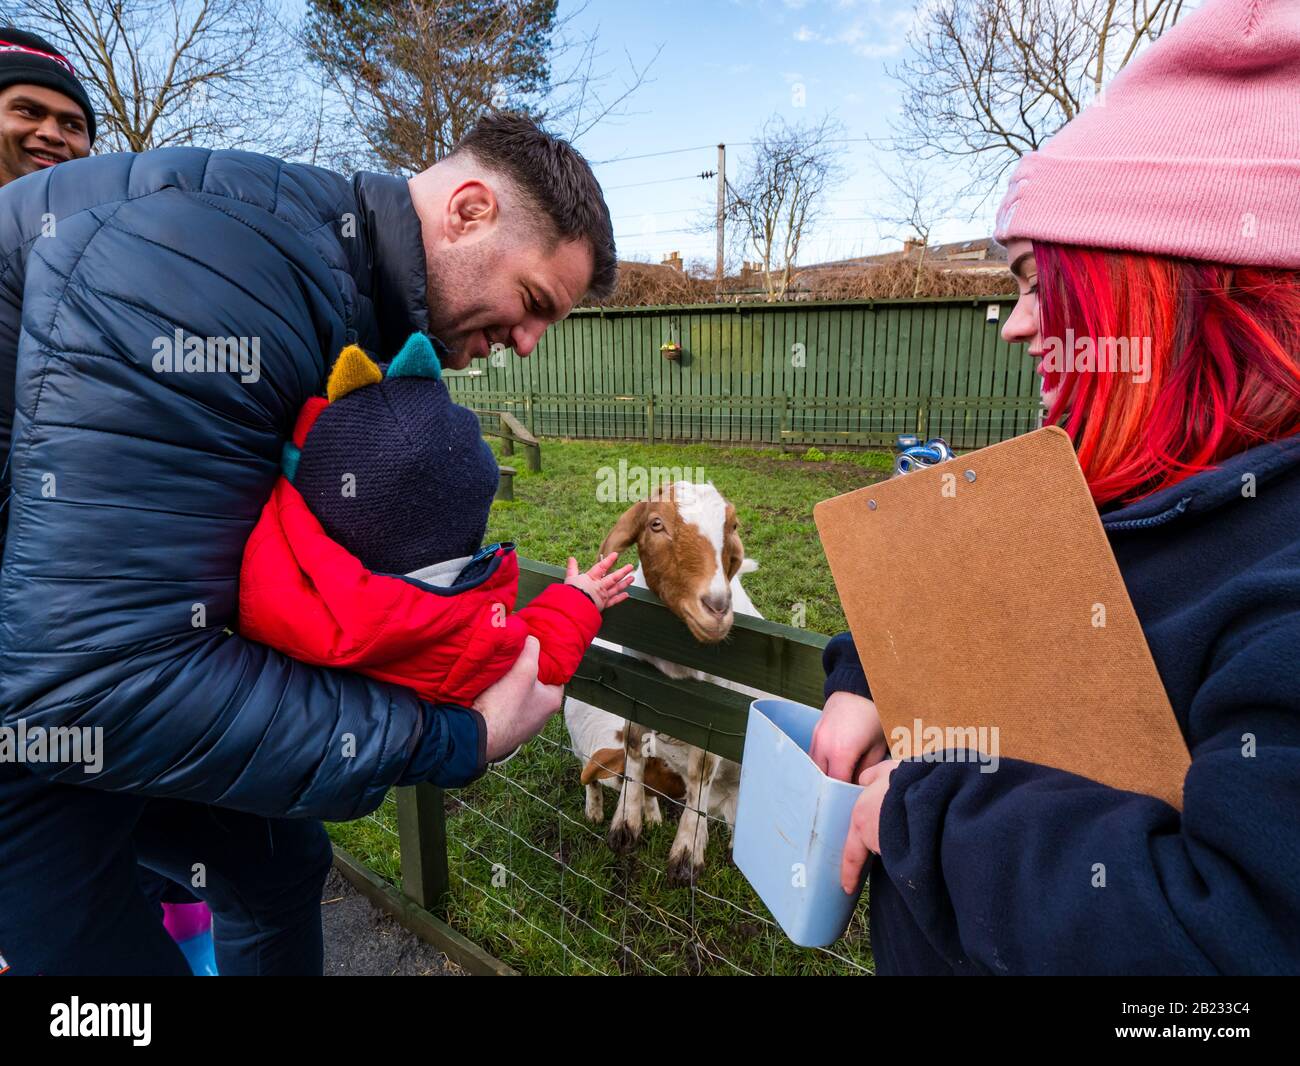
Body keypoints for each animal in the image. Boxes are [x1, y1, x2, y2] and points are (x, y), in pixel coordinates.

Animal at [564, 480, 764, 883]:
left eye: (732, 527)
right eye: (656, 524)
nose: (717, 607)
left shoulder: (714, 711)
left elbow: (701, 769)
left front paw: (686, 852)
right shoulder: (637, 684)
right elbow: (633, 742)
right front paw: (627, 821)